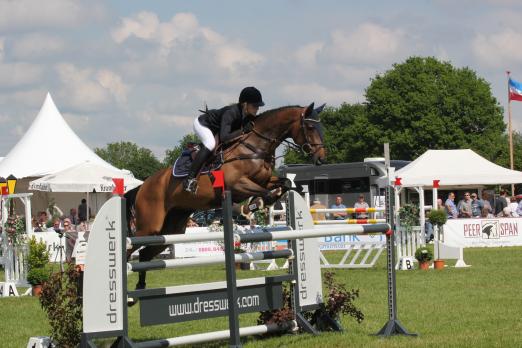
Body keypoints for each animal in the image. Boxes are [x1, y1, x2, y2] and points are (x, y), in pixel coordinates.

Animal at [124, 102, 324, 290]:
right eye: (310, 127)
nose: (321, 158)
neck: (254, 148)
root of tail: (143, 185)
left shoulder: (265, 180)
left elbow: (286, 183)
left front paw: (254, 205)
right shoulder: (238, 185)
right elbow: (265, 193)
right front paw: (251, 206)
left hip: (172, 229)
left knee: (144, 254)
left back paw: (138, 290)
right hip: (150, 226)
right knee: (130, 248)